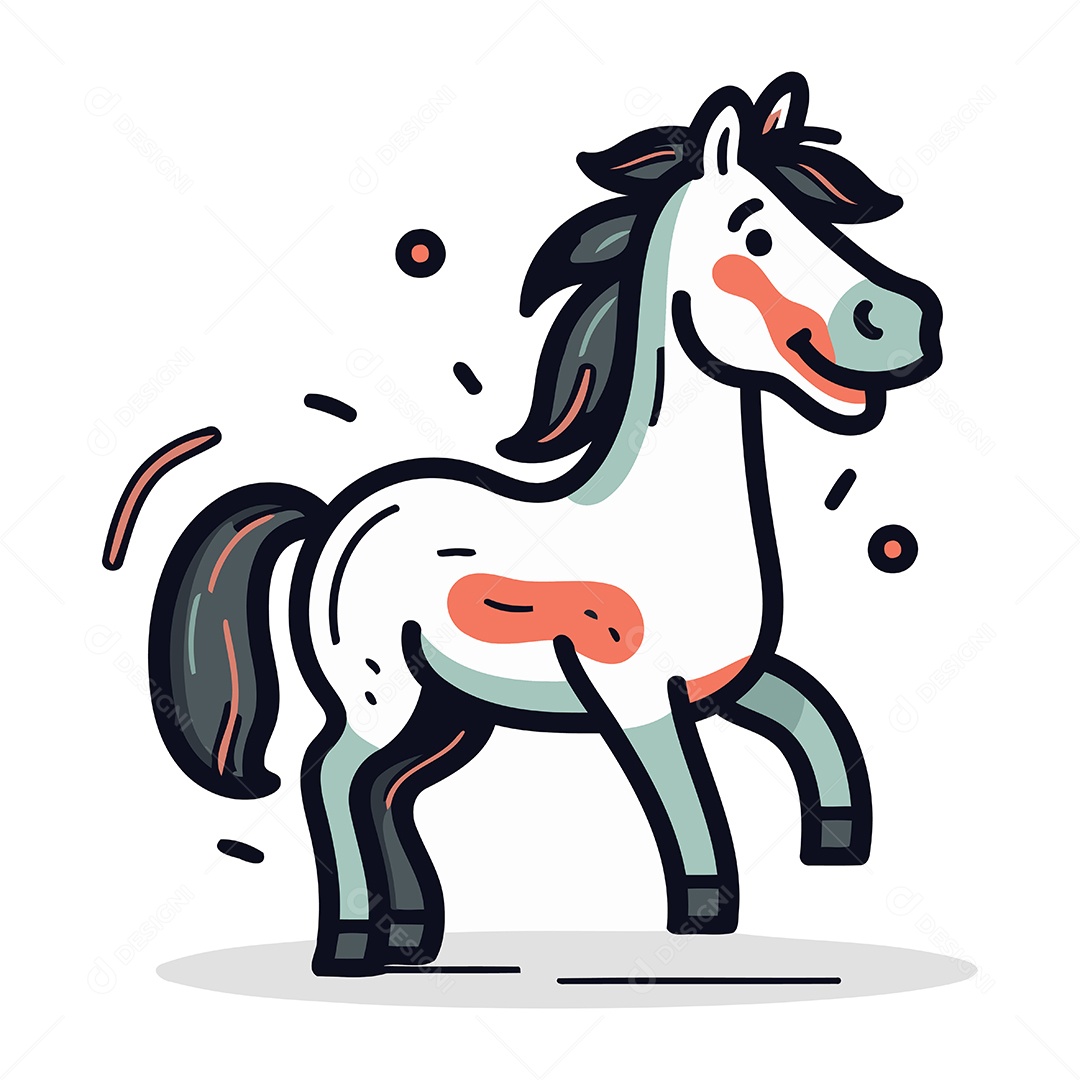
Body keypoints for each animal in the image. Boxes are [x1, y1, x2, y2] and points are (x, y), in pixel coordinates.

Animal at [141, 72, 942, 976]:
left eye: (822, 222)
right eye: (758, 231)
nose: (905, 320)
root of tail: (335, 518)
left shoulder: (727, 675)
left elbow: (811, 712)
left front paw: (835, 835)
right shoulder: (636, 692)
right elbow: (686, 797)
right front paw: (705, 912)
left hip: (447, 711)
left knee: (386, 787)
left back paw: (409, 934)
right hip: (377, 695)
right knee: (332, 772)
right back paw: (348, 943)